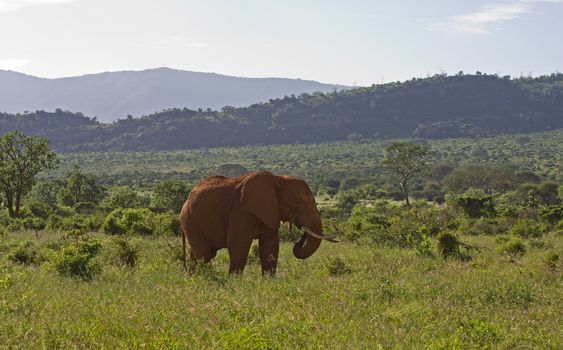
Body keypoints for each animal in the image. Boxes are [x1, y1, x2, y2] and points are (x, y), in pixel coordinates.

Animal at [178, 171, 338, 274]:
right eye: (297, 203)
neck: (278, 179)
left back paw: (195, 277)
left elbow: (271, 246)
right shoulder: (240, 211)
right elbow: (238, 245)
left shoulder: (270, 213)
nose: (301, 229)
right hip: (189, 218)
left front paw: (268, 282)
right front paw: (234, 283)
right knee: (204, 253)